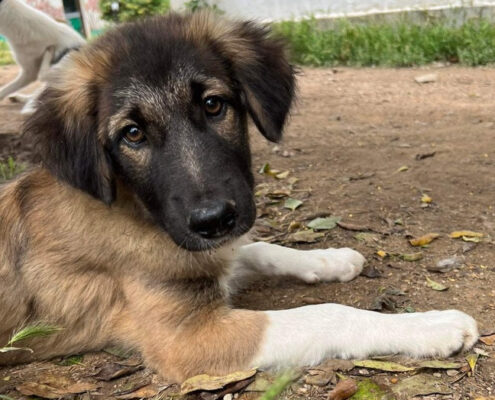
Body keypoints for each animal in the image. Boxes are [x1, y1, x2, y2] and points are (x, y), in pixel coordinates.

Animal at [0, 10, 480, 382]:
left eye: (214, 105)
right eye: (131, 134)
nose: (213, 220)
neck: (137, 210)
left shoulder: (214, 253)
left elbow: (259, 248)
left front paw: (330, 259)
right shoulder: (190, 337)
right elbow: (328, 313)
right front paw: (432, 325)